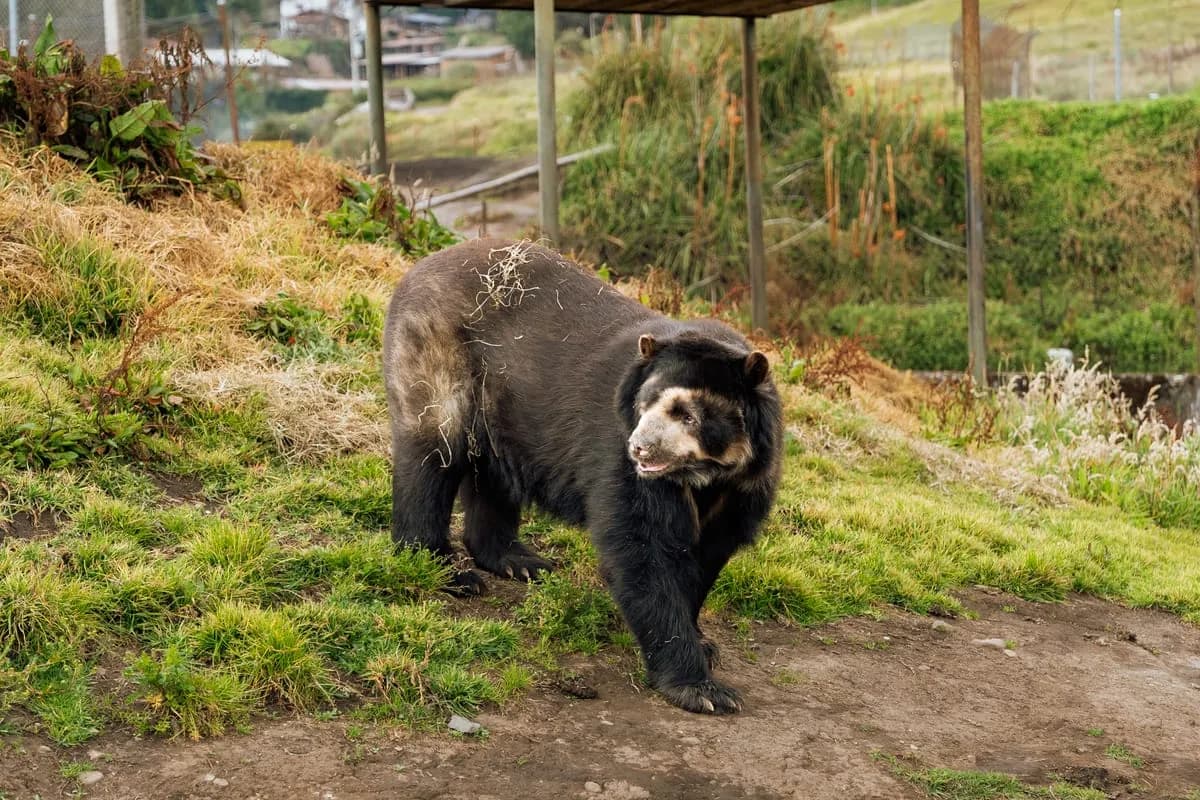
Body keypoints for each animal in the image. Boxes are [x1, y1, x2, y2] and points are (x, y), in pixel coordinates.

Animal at [382, 238, 782, 714]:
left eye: (687, 414)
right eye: (646, 402)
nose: (640, 449)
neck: (704, 475)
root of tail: (416, 269)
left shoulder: (744, 486)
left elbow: (708, 555)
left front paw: (704, 644)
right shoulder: (618, 456)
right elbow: (640, 547)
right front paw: (702, 689)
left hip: (503, 404)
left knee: (491, 476)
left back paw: (518, 560)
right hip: (439, 362)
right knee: (432, 456)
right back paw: (447, 570)